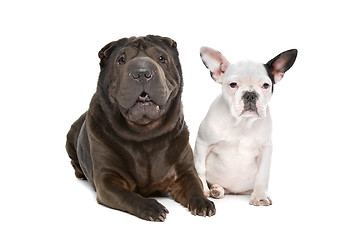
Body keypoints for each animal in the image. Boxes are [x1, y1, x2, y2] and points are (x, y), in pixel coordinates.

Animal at [195, 47, 296, 206]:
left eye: (266, 85)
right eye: (233, 84)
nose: (250, 94)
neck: (242, 122)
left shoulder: (265, 148)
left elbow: (263, 174)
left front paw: (260, 196)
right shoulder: (203, 143)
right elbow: (200, 169)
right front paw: (203, 190)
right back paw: (216, 189)